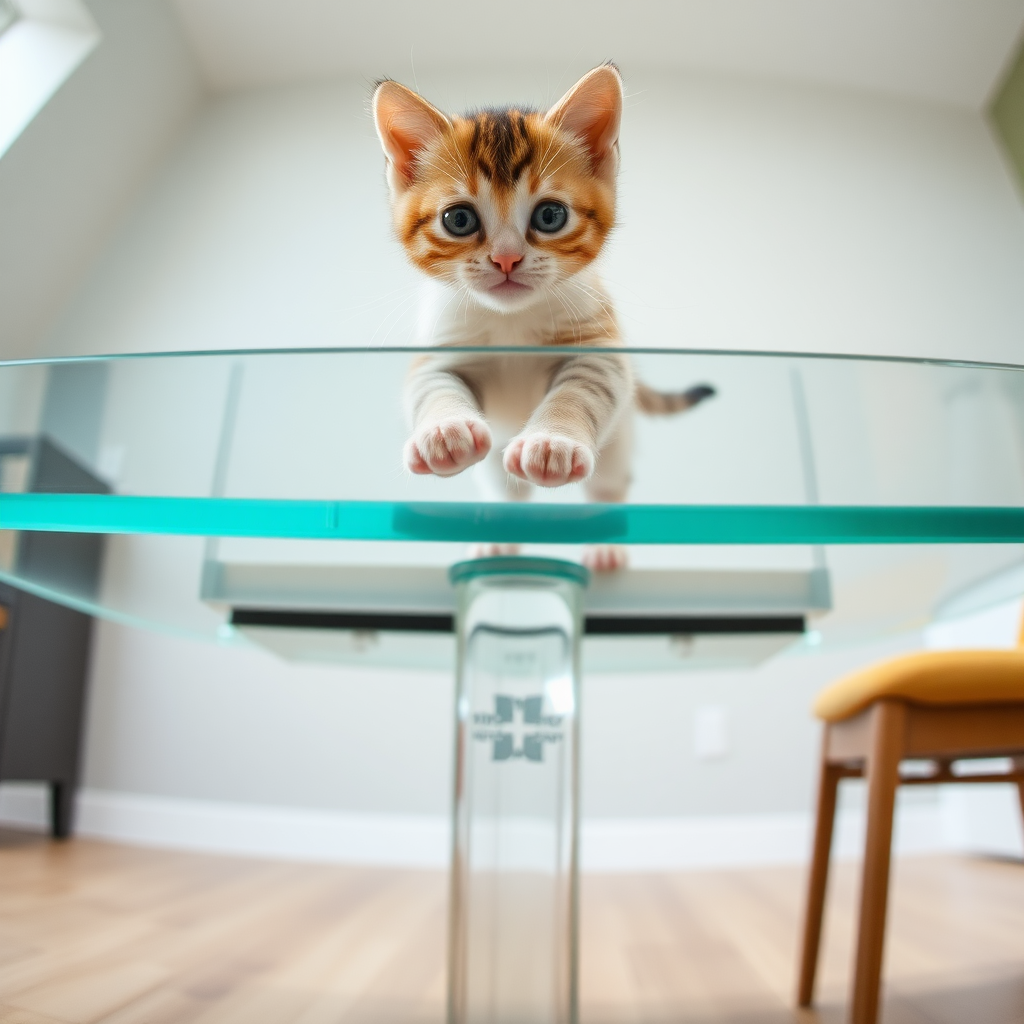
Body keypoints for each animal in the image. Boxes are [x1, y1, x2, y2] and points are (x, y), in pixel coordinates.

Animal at [370, 66, 712, 569]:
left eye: (550, 215)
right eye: (458, 220)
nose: (507, 259)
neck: (511, 320)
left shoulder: (601, 347)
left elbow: (582, 390)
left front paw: (554, 442)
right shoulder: (438, 350)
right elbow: (431, 387)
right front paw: (444, 430)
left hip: (618, 443)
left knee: (609, 484)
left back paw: (605, 546)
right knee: (507, 491)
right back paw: (501, 541)